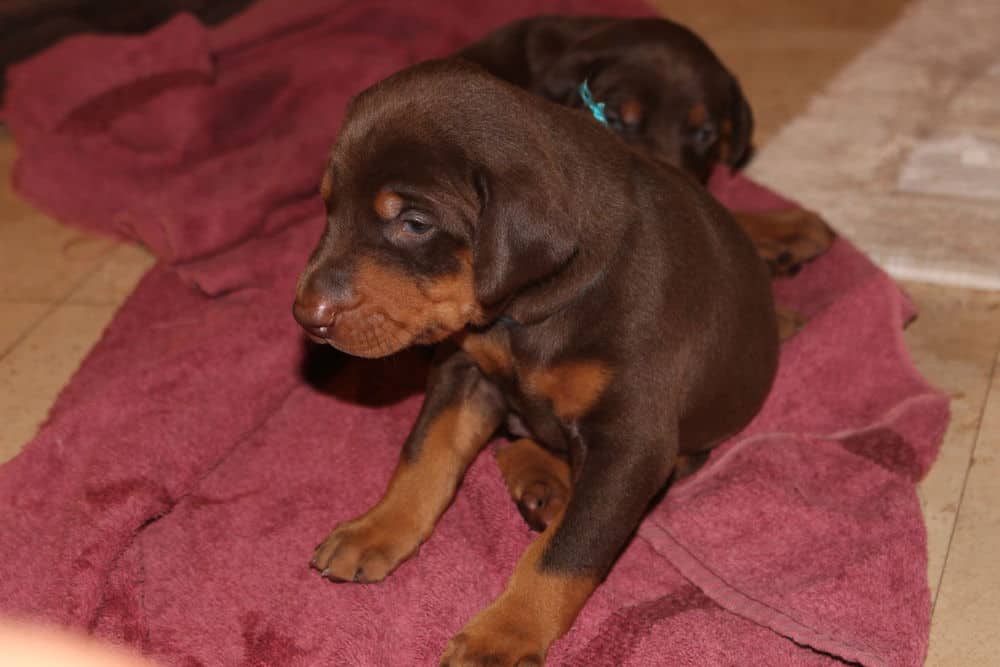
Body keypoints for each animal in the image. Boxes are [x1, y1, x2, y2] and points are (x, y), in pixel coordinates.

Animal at [292, 60, 776, 664]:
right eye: (328, 205)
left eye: (415, 224)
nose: (306, 316)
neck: (527, 314)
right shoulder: (467, 373)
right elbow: (423, 457)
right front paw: (376, 529)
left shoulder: (633, 440)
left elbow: (568, 551)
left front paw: (504, 633)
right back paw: (537, 474)